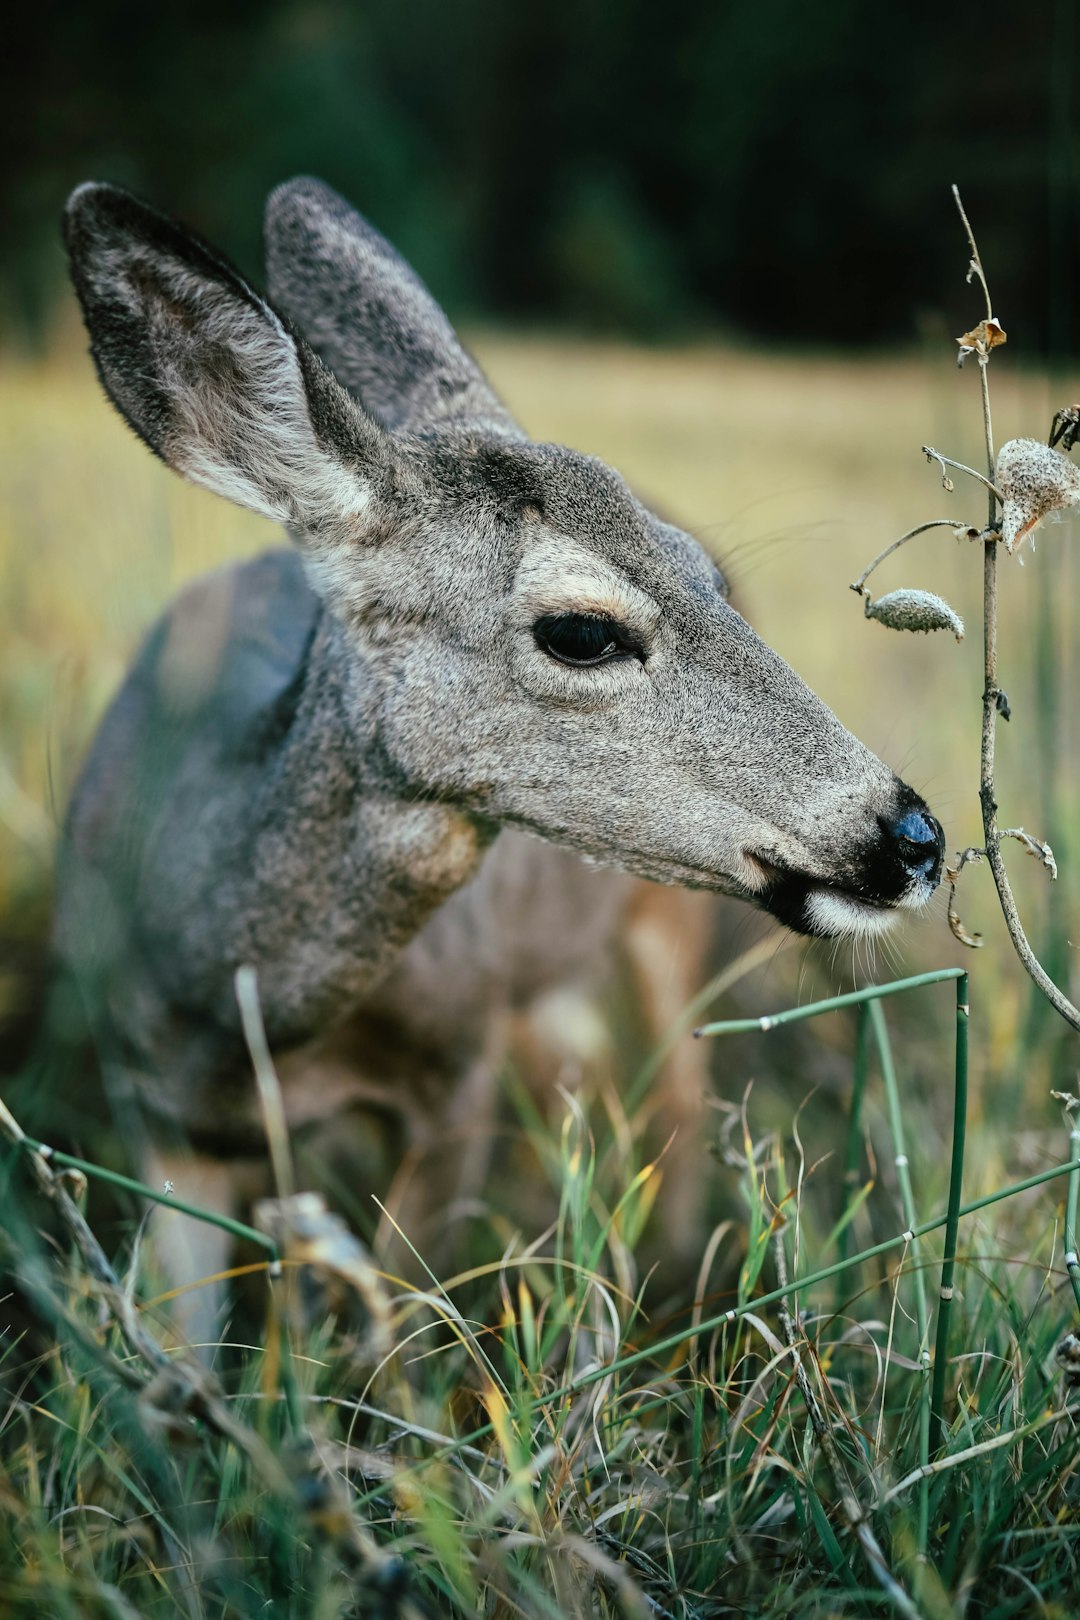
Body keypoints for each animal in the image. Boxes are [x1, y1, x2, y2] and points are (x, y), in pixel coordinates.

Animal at [52, 177, 945, 1341]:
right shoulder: (154, 1116)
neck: (241, 1004)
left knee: (678, 1099)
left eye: (706, 579)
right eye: (581, 631)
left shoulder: (458, 1071)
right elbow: (180, 1351)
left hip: (665, 938)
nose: (915, 835)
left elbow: (400, 1338)